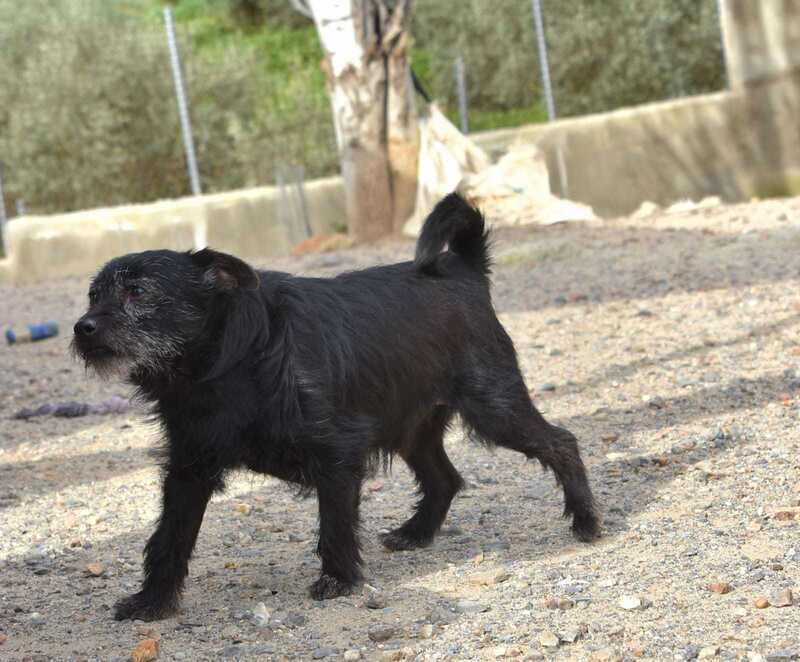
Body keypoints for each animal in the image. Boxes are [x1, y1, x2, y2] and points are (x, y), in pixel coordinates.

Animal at [72, 193, 599, 621]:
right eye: (93, 295)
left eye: (137, 291)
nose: (83, 327)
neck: (227, 363)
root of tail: (463, 269)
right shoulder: (189, 468)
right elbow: (169, 539)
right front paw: (153, 601)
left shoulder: (337, 455)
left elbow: (335, 526)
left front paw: (340, 580)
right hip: (413, 429)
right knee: (445, 479)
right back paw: (416, 532)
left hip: (494, 407)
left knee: (562, 442)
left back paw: (587, 521)